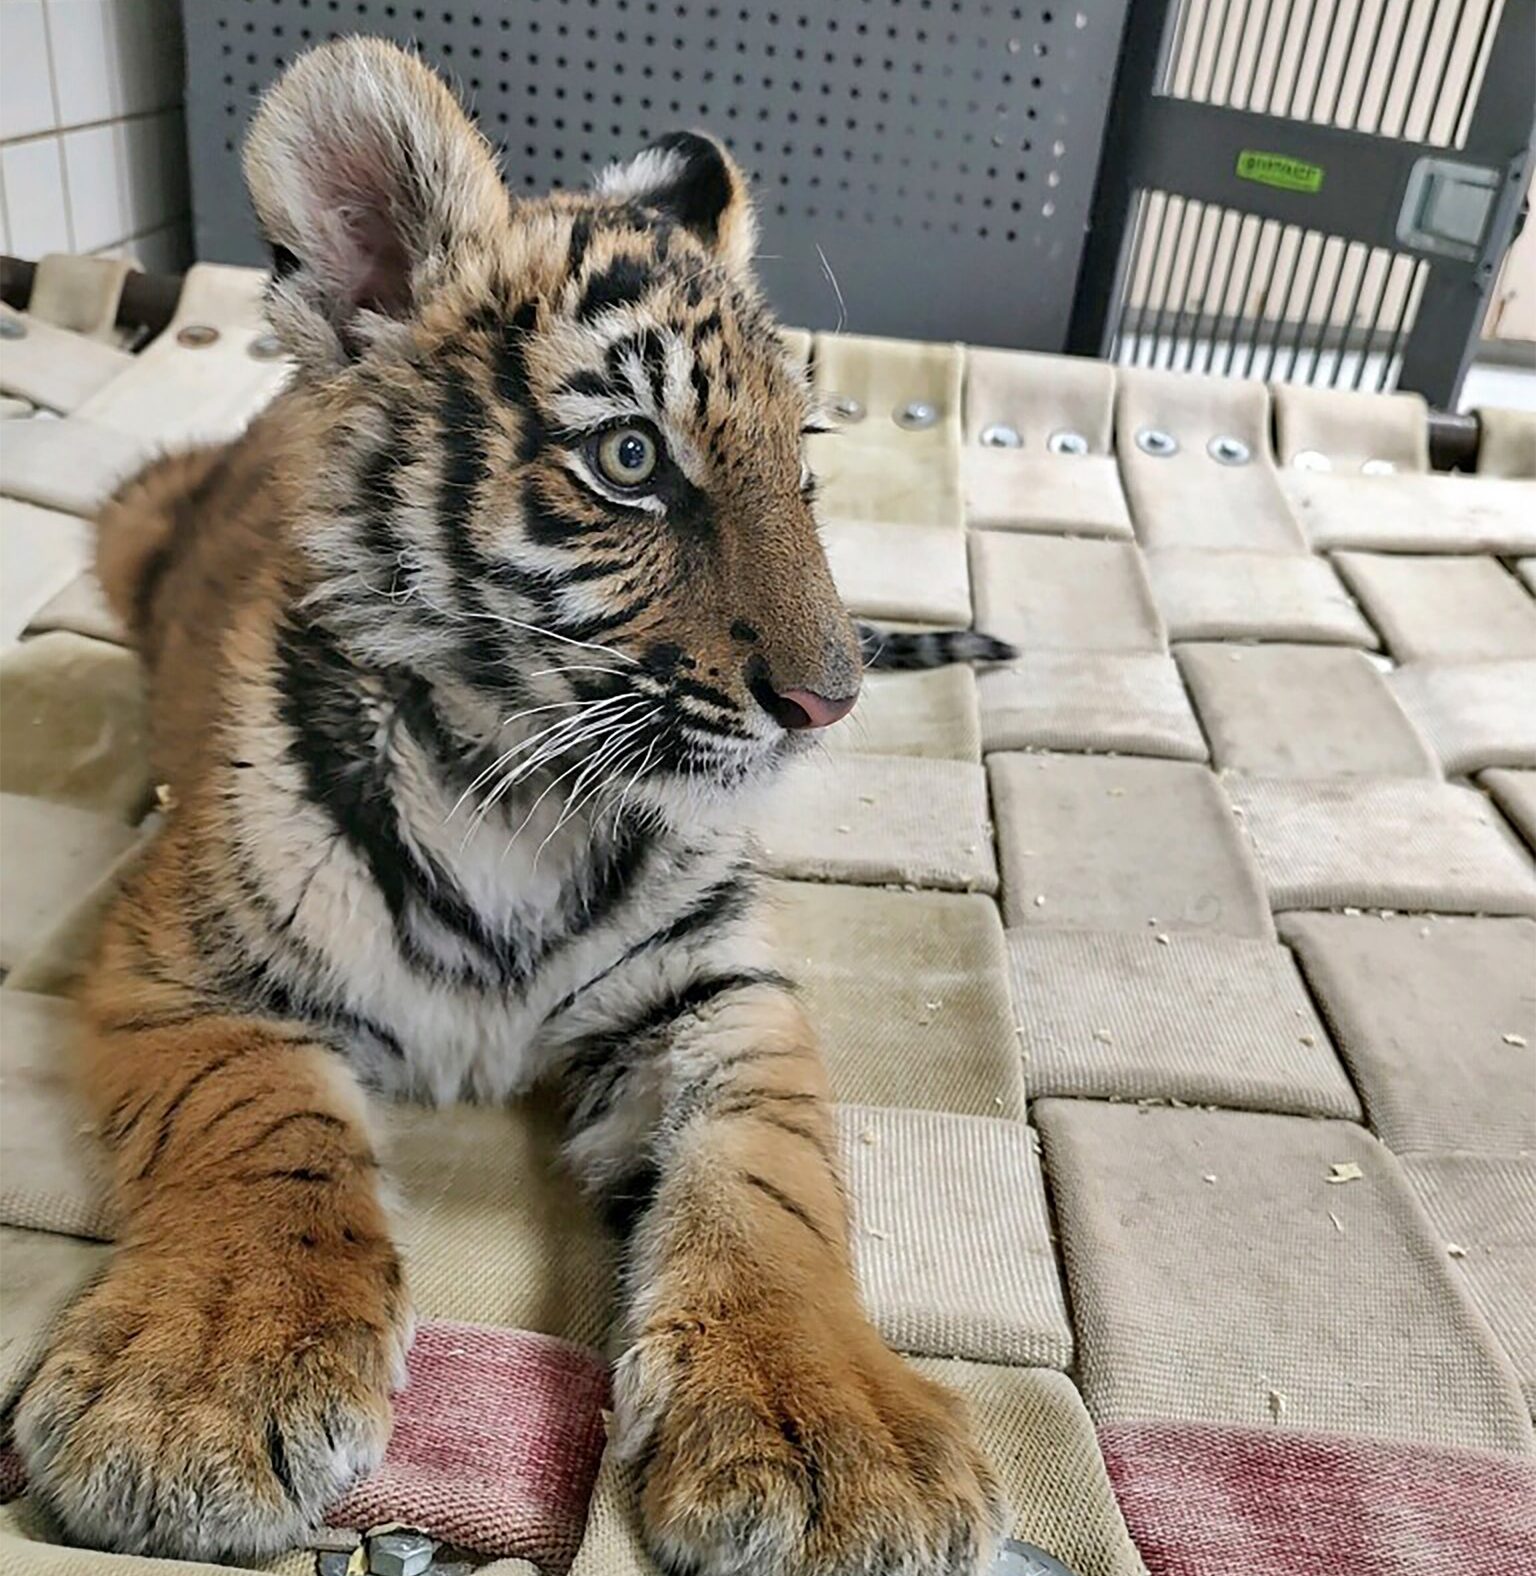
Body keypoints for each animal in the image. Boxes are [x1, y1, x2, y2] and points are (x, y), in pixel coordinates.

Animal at [14, 38, 1012, 1575]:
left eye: (802, 469)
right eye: (631, 461)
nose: (832, 700)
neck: (517, 787)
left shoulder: (714, 985)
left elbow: (771, 1174)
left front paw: (832, 1442)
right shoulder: (183, 962)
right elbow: (255, 1129)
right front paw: (195, 1391)